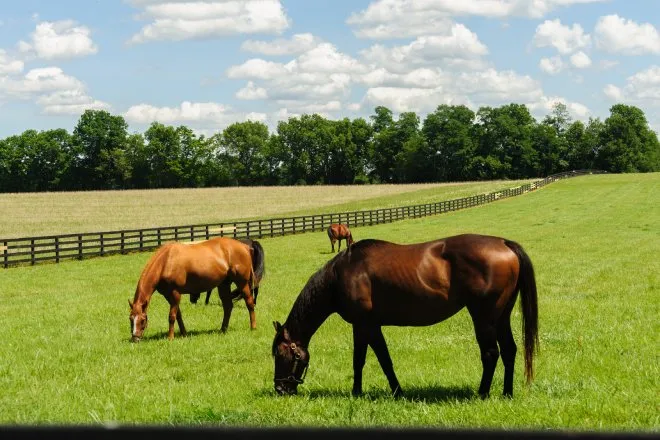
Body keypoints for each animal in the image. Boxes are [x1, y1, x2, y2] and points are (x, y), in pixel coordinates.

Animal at [128, 236, 266, 342]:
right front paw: (184, 333)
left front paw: (170, 337)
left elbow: (172, 316)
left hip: (242, 283)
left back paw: (253, 327)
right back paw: (223, 329)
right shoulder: (168, 295)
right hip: (223, 285)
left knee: (249, 302)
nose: (135, 338)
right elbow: (178, 315)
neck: (166, 261)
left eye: (142, 320)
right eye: (131, 319)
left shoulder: (175, 293)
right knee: (228, 306)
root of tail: (246, 247)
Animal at [272, 233, 538, 399]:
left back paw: (482, 393)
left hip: (483, 318)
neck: (341, 275)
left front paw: (392, 391)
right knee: (509, 350)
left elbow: (380, 361)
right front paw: (361, 392)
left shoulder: (367, 326)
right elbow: (364, 360)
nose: (280, 389)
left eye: (281, 354)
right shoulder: (363, 327)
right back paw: (506, 393)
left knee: (491, 354)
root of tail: (504, 244)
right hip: (501, 317)